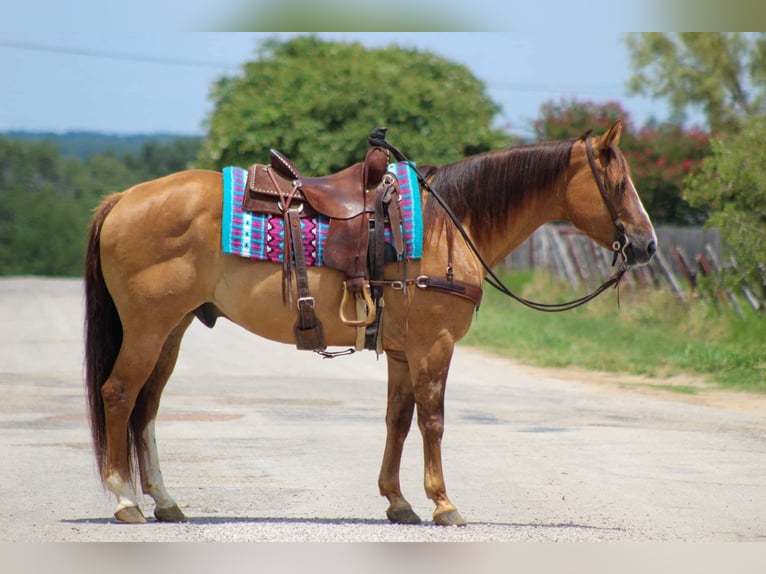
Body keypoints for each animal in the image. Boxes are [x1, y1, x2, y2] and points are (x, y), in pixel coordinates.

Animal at [85, 119, 660, 528]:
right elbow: (433, 421)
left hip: (173, 331)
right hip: (148, 330)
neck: (449, 225)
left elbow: (398, 422)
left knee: (146, 408)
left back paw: (164, 501)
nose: (646, 244)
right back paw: (124, 500)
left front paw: (398, 501)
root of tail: (123, 199)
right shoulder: (434, 346)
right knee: (119, 395)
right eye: (618, 183)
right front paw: (443, 504)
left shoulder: (405, 352)